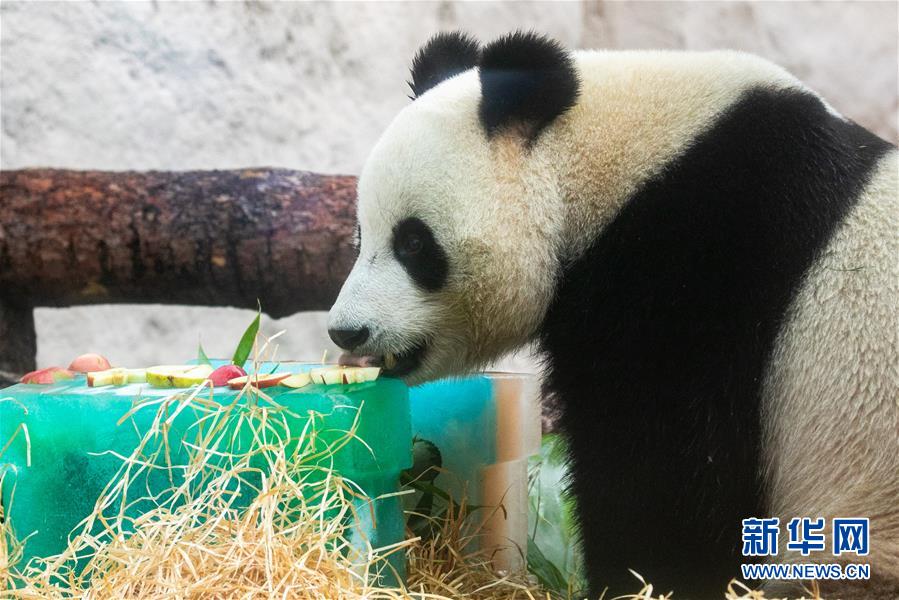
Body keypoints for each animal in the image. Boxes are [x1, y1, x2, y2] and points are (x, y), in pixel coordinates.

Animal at [328, 34, 899, 600]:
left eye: (413, 243)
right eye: (359, 238)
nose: (346, 330)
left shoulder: (699, 268)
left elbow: (663, 473)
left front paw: (640, 579)